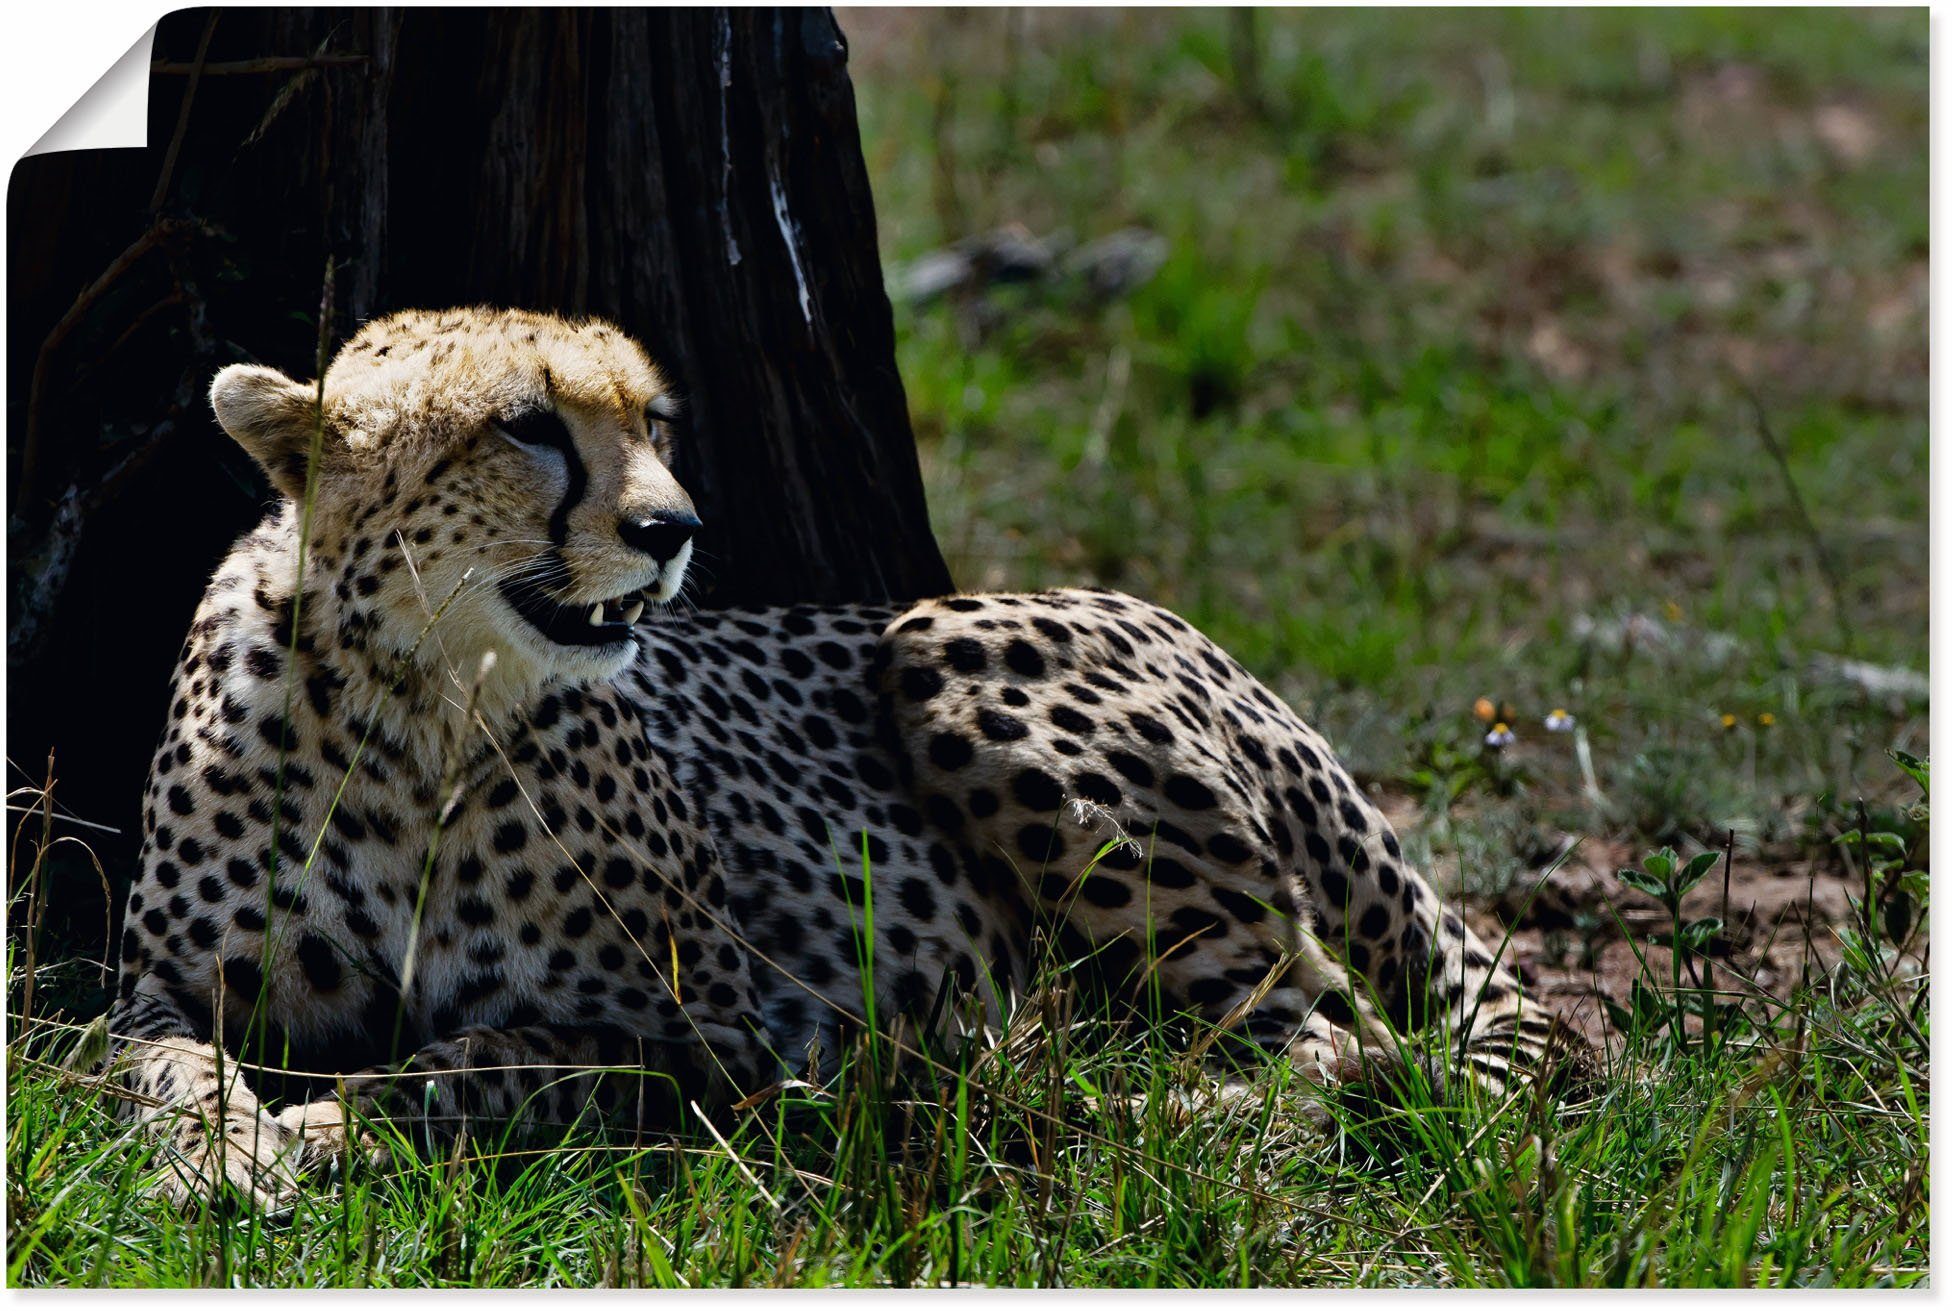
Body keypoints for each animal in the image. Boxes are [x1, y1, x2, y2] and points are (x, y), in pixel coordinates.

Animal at [102, 308, 1569, 1209]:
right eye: (526, 425)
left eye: (655, 424)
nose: (674, 528)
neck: (422, 707)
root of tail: (1188, 626)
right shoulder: (162, 983)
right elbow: (162, 1065)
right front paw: (219, 1153)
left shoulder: (719, 1034)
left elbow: (480, 1060)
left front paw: (323, 1123)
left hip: (944, 645)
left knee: (1335, 1043)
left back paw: (1086, 1100)